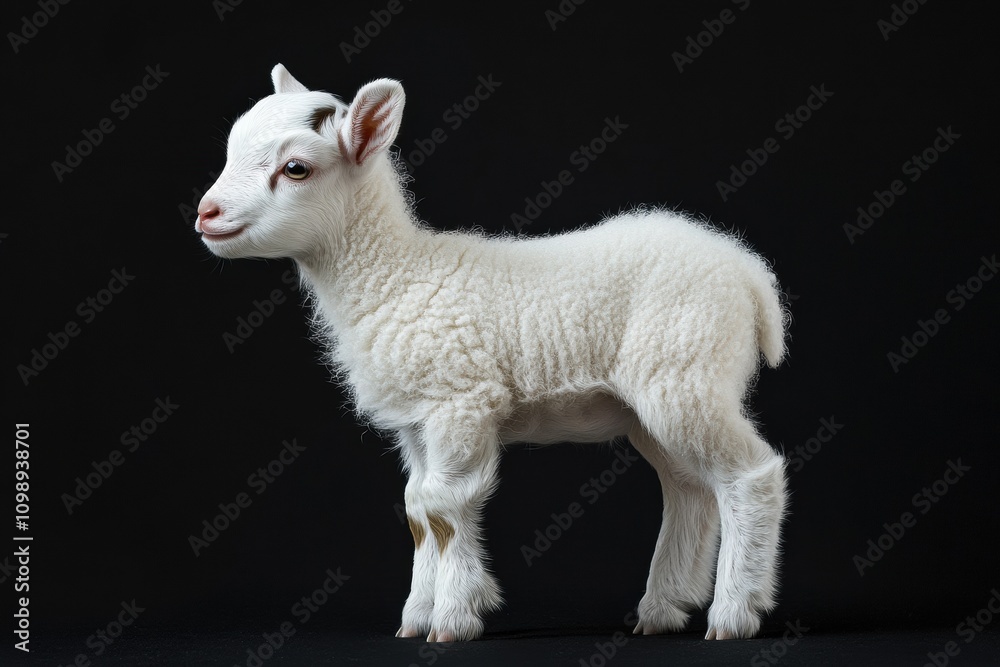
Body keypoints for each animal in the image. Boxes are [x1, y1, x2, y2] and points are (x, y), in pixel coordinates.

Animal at [196, 64, 789, 642]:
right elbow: (417, 509)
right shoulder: (416, 420)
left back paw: (733, 614)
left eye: (295, 168)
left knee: (750, 476)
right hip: (655, 400)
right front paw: (416, 616)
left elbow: (445, 509)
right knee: (689, 488)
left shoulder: (461, 402)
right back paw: (664, 608)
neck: (396, 274)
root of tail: (747, 272)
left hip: (688, 372)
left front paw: (454, 617)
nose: (206, 213)